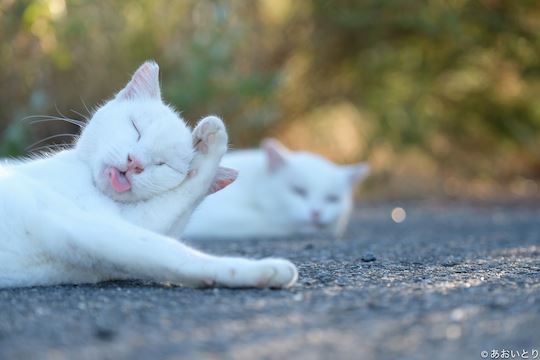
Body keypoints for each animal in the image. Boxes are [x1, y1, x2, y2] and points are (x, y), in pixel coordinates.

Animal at [0, 60, 300, 288]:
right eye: (137, 128)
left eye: (162, 164)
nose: (135, 163)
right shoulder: (80, 223)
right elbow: (173, 251)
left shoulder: (110, 229)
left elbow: (173, 231)